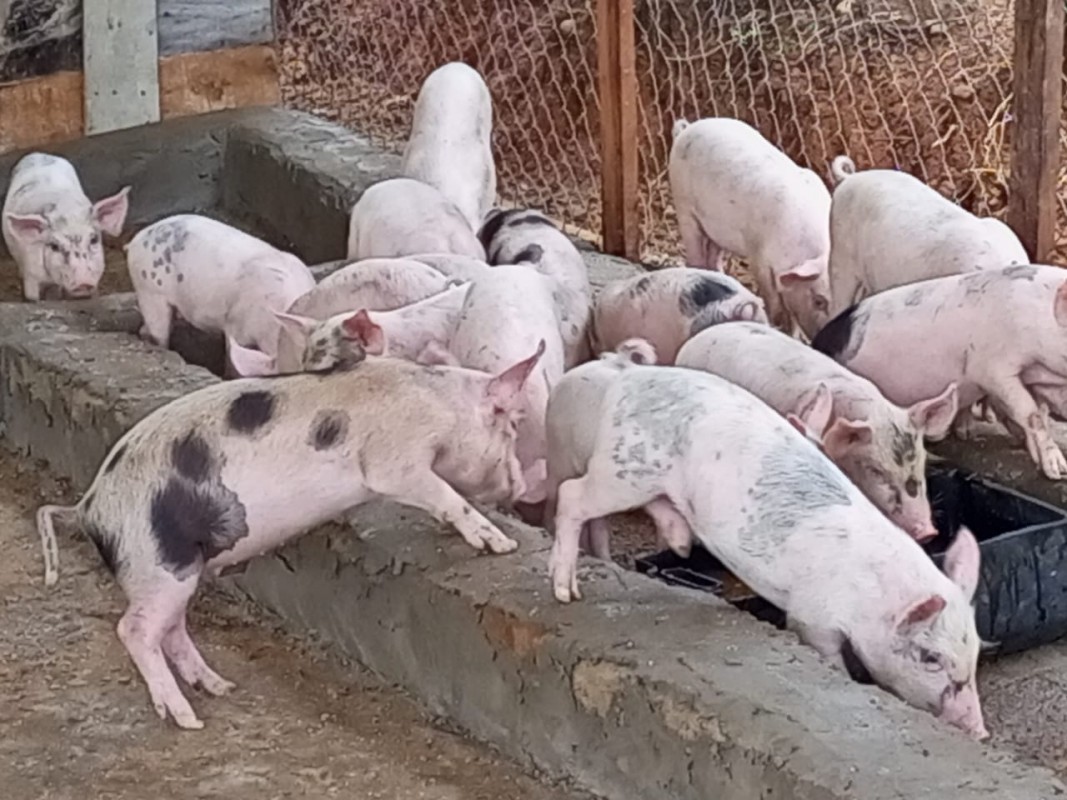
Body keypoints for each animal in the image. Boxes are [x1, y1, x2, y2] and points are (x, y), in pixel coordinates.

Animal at [35, 347, 544, 728]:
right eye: (511, 425)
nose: (519, 489)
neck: (439, 402)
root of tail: (89, 506)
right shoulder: (393, 459)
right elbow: (443, 493)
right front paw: (502, 544)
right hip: (157, 558)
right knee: (135, 630)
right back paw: (188, 718)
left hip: (174, 570)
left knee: (172, 629)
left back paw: (220, 687)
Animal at [547, 363, 987, 739]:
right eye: (930, 657)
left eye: (976, 651)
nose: (980, 732)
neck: (872, 597)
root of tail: (627, 379)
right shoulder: (813, 615)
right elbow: (827, 653)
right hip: (625, 470)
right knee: (571, 494)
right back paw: (566, 592)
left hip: (644, 478)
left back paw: (681, 542)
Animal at [669, 118, 832, 338]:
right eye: (818, 301)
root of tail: (687, 129)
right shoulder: (758, 255)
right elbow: (775, 305)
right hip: (684, 206)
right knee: (694, 257)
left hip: (717, 230)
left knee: (713, 258)